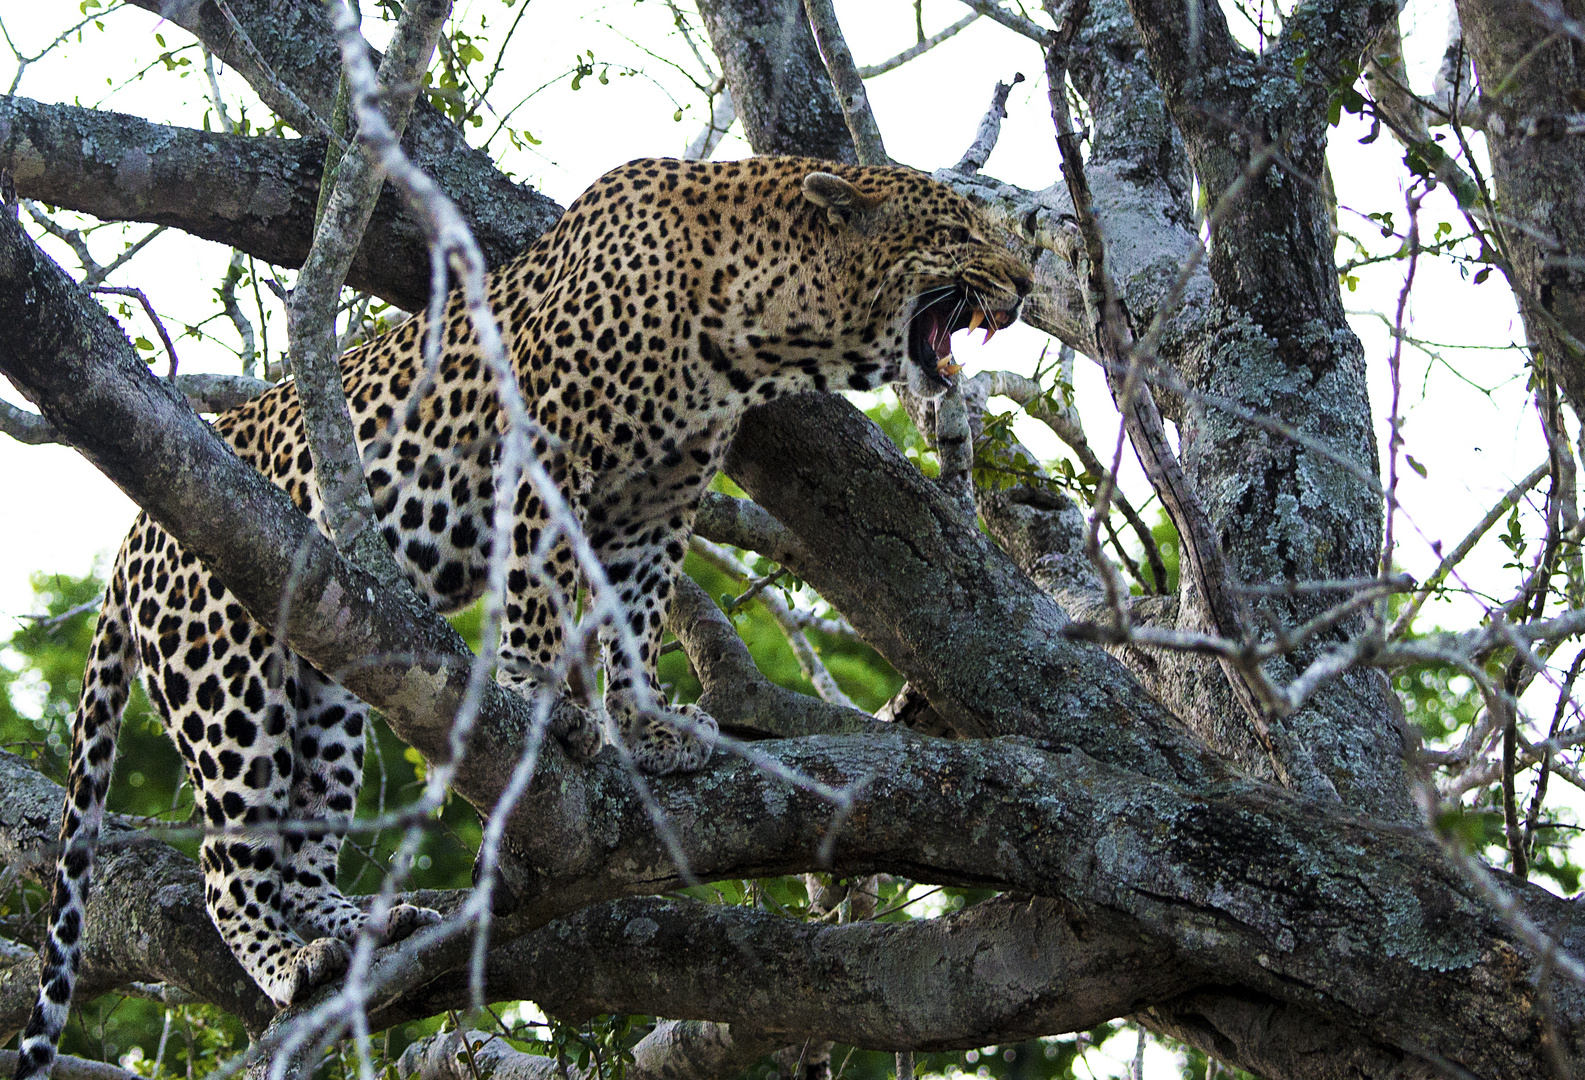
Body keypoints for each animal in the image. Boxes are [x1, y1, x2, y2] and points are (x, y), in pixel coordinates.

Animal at [18, 153, 1033, 1078]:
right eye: (959, 232)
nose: (1025, 283)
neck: (755, 334)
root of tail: (130, 543)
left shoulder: (654, 508)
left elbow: (636, 619)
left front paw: (645, 728)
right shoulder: (542, 458)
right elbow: (540, 605)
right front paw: (556, 711)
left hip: (324, 699)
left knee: (302, 854)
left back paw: (372, 927)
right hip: (226, 680)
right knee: (227, 870)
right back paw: (289, 966)